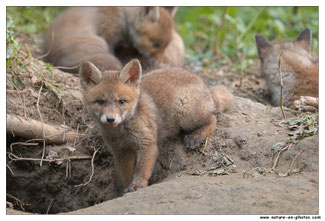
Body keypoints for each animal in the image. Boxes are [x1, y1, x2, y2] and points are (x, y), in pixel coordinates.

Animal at [43, 6, 182, 72]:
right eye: (155, 44)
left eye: (166, 46)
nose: (160, 64)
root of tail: (52, 61)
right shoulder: (108, 37)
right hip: (103, 49)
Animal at [79, 58, 233, 193]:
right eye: (100, 102)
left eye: (121, 101)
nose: (110, 119)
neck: (122, 133)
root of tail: (204, 85)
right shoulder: (121, 151)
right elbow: (124, 177)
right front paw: (121, 192)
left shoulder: (147, 144)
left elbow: (141, 170)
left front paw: (137, 186)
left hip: (185, 113)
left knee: (212, 117)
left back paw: (196, 136)